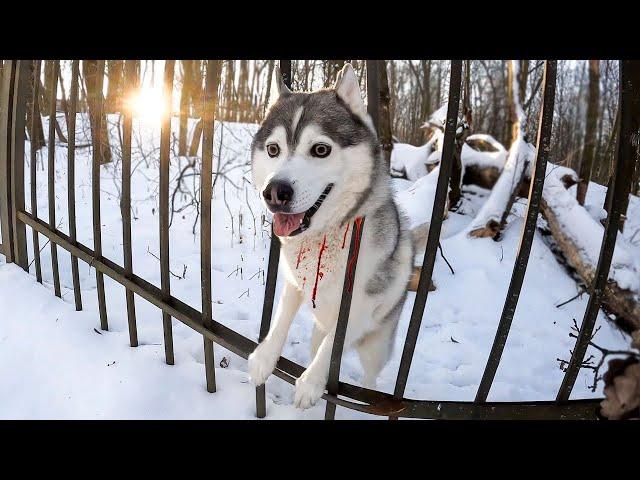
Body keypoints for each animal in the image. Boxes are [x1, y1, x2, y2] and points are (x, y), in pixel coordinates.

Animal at [248, 62, 412, 408]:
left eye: (321, 149)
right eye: (273, 149)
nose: (275, 192)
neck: (327, 234)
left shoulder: (359, 307)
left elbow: (332, 346)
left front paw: (311, 382)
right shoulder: (295, 282)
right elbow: (281, 319)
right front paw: (265, 357)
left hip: (376, 344)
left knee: (370, 375)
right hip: (317, 329)